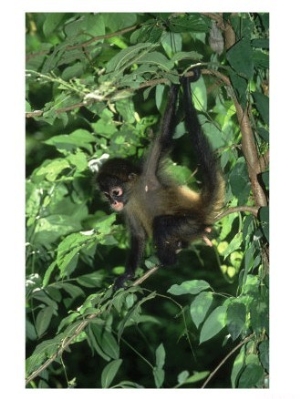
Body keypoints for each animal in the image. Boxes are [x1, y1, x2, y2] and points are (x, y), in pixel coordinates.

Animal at [96, 68, 225, 288]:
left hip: (190, 223)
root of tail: (199, 207)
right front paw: (127, 275)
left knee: (162, 223)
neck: (136, 191)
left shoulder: (149, 170)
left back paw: (168, 259)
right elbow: (138, 236)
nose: (113, 203)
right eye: (107, 195)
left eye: (116, 192)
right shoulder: (127, 207)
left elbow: (164, 135)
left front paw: (174, 86)